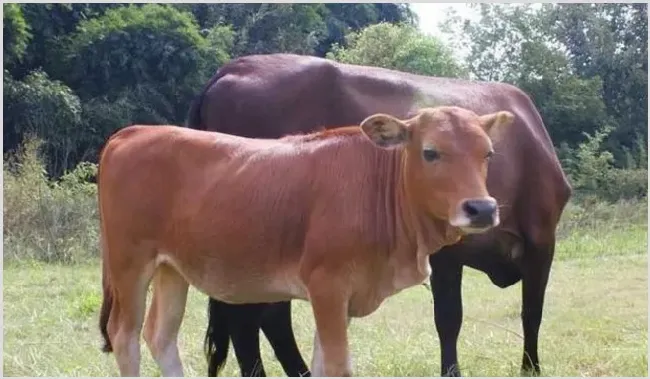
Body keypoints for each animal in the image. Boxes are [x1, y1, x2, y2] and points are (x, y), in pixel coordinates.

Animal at [97, 106, 512, 378]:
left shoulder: (339, 297)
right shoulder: (327, 285)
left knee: (160, 335)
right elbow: (339, 366)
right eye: (430, 152)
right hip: (129, 263)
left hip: (172, 268)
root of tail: (131, 132)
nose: (482, 208)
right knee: (125, 335)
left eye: (488, 153)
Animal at [185, 53, 568, 378]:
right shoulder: (538, 239)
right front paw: (527, 369)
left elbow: (485, 314)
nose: (482, 208)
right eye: (429, 153)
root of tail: (235, 66)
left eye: (489, 153)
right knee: (252, 319)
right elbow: (510, 313)